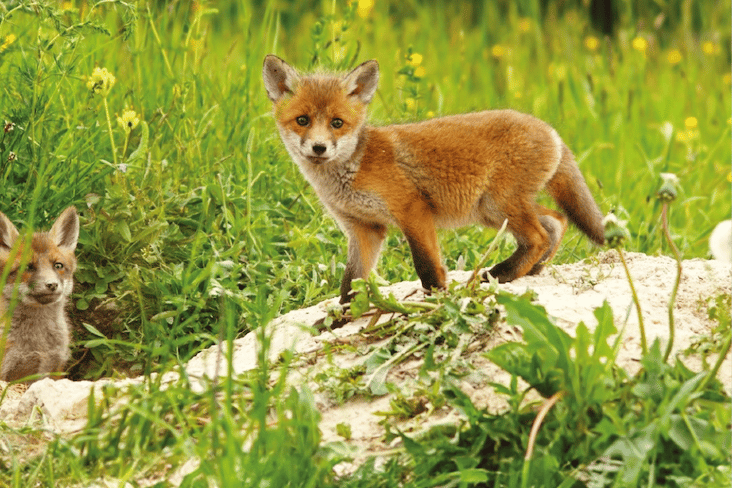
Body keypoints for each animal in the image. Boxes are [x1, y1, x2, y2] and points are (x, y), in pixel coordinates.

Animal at [262, 55, 605, 304]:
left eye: (337, 123)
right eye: (302, 120)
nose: (319, 148)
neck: (353, 169)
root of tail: (551, 130)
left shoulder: (412, 210)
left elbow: (427, 266)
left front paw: (437, 300)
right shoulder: (364, 228)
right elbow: (351, 282)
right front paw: (341, 320)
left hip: (498, 205)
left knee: (538, 236)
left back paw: (499, 274)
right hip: (492, 211)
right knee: (556, 221)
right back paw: (531, 270)